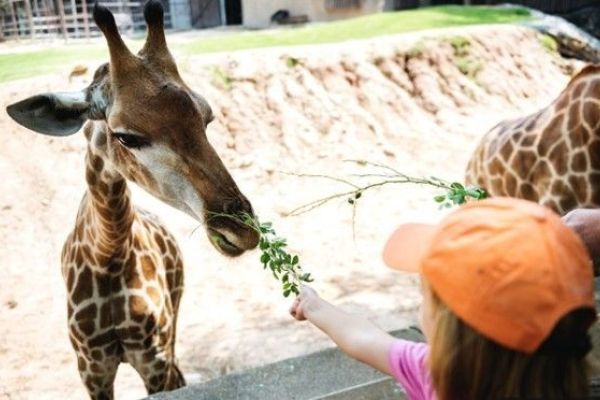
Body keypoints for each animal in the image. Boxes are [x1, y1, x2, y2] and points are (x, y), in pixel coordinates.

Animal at [4, 1, 258, 398]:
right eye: (126, 136)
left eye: (207, 118)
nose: (242, 230)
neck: (108, 254)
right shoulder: (92, 369)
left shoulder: (153, 359)